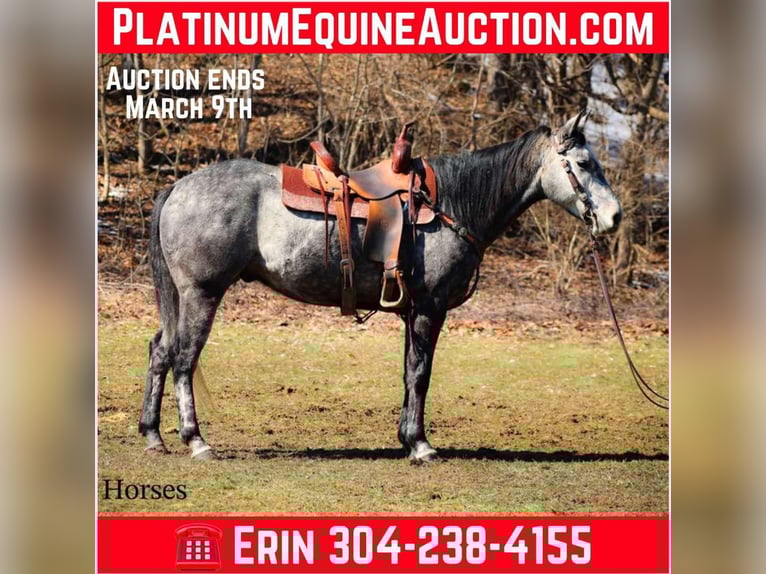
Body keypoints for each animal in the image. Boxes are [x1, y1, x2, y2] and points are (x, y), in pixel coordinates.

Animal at [138, 110, 622, 462]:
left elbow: (410, 372)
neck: (451, 202)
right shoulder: (429, 308)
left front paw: (407, 437)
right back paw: (195, 440)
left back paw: (152, 435)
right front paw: (421, 445)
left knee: (160, 351)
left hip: (181, 297)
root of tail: (179, 186)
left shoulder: (413, 312)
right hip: (202, 294)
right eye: (583, 164)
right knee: (183, 358)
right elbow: (421, 374)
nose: (614, 217)